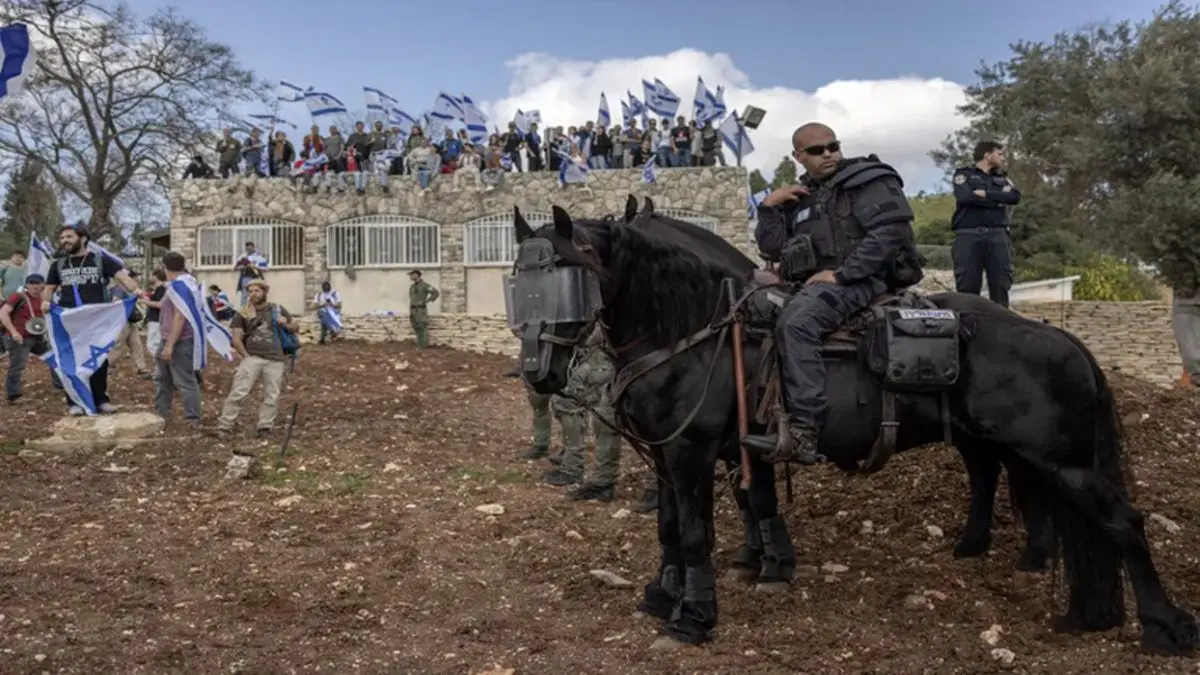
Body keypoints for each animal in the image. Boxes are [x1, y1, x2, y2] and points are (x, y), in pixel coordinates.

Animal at [511, 204, 1195, 653]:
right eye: (520, 284)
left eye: (565, 278)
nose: (538, 372)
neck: (693, 331)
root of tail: (1064, 339)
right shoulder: (673, 457)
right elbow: (675, 527)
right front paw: (668, 592)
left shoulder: (692, 454)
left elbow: (700, 531)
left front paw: (695, 615)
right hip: (1013, 448)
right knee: (1015, 489)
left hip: (1066, 461)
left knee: (1124, 523)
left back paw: (1164, 626)